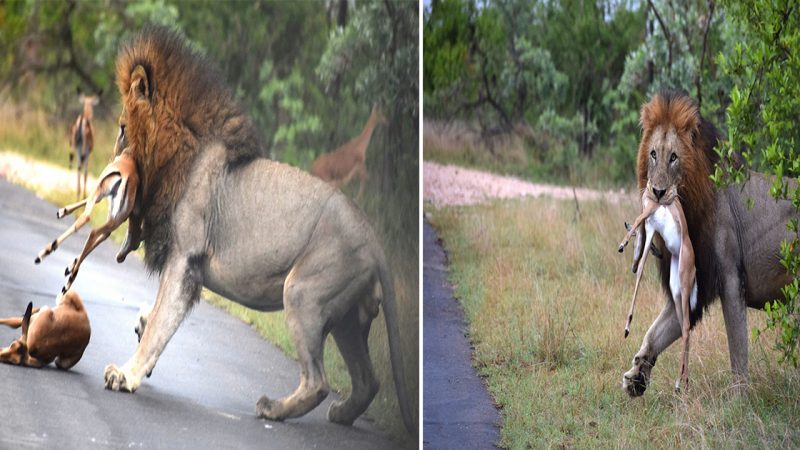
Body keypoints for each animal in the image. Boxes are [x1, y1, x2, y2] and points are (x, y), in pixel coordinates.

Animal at [101, 25, 416, 432]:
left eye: (123, 129)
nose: (110, 170)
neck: (177, 157)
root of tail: (376, 240)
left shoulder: (185, 259)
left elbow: (160, 322)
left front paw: (127, 374)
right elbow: (156, 316)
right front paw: (140, 335)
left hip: (303, 291)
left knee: (319, 381)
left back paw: (272, 408)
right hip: (347, 319)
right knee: (367, 381)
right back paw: (342, 415)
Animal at [620, 90, 796, 398]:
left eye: (674, 157)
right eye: (653, 154)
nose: (657, 192)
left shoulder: (731, 279)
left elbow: (738, 348)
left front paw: (738, 399)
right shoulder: (695, 284)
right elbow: (656, 332)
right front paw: (636, 376)